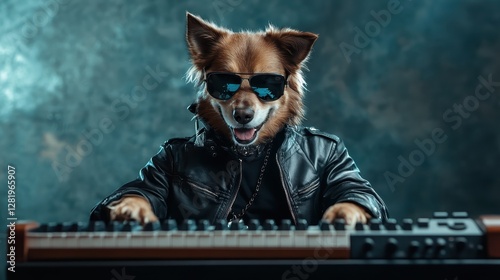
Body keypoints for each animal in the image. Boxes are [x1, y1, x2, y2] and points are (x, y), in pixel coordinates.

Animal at [100, 12, 386, 228]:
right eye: (224, 83)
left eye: (267, 84)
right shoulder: (161, 159)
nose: (243, 115)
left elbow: (356, 192)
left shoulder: (342, 163)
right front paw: (130, 208)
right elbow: (140, 191)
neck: (249, 153)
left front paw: (343, 213)